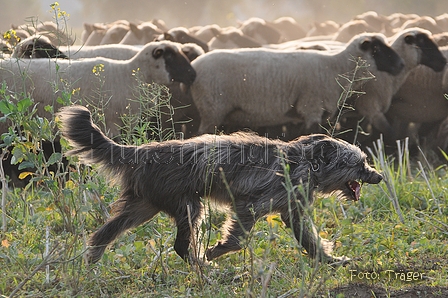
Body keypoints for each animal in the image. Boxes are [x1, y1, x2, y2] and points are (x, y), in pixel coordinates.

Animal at [57, 106, 384, 264]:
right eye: (359, 163)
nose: (378, 176)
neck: (303, 162)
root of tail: (142, 152)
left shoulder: (293, 212)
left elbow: (311, 241)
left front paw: (331, 261)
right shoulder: (249, 206)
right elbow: (237, 239)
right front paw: (216, 251)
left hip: (143, 206)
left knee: (104, 232)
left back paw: (91, 260)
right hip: (188, 207)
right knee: (180, 246)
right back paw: (205, 265)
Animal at [190, 32, 406, 134]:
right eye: (376, 49)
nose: (401, 65)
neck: (336, 67)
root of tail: (194, 66)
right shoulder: (311, 108)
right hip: (212, 108)